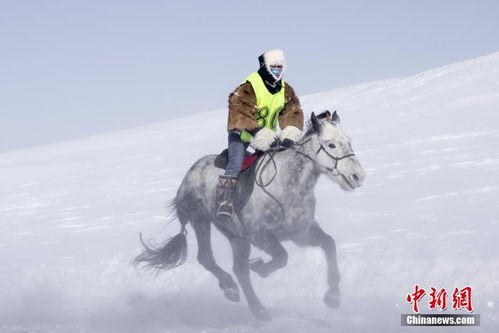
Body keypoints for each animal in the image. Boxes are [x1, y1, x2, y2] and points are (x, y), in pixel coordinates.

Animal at [136, 110, 368, 320]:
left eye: (349, 141)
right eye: (331, 144)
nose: (358, 176)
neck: (286, 184)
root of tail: (189, 175)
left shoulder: (301, 233)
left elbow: (329, 244)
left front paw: (333, 297)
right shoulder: (261, 236)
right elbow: (282, 257)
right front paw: (261, 268)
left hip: (236, 236)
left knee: (239, 269)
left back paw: (258, 309)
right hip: (201, 220)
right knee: (207, 258)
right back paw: (231, 289)